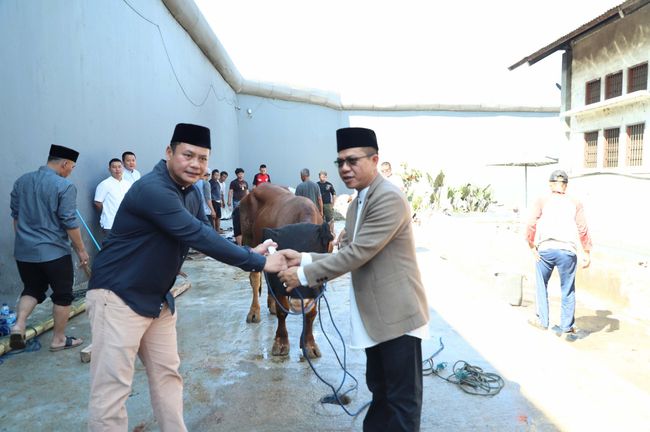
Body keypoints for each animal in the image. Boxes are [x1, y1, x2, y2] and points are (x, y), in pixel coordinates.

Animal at [237, 182, 330, 358]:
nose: (299, 301)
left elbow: (311, 313)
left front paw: (309, 344)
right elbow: (283, 311)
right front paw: (281, 342)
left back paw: (271, 305)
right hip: (249, 240)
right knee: (255, 279)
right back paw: (254, 312)